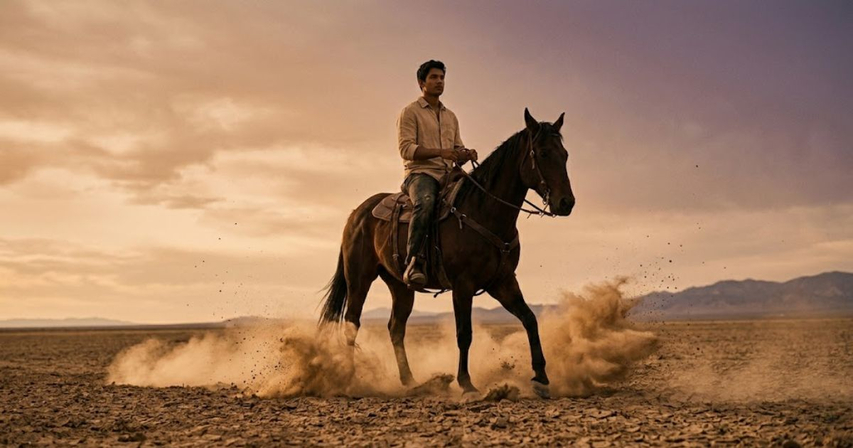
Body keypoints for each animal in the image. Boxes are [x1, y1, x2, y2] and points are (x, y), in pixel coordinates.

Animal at [319, 108, 575, 396]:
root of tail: (356, 214)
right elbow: (464, 333)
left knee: (396, 327)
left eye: (564, 154)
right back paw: (350, 379)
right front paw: (466, 383)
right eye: (542, 153)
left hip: (400, 285)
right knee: (352, 324)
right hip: (359, 279)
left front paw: (541, 377)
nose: (566, 202)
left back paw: (411, 381)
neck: (484, 210)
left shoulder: (502, 281)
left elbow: (529, 319)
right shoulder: (463, 284)